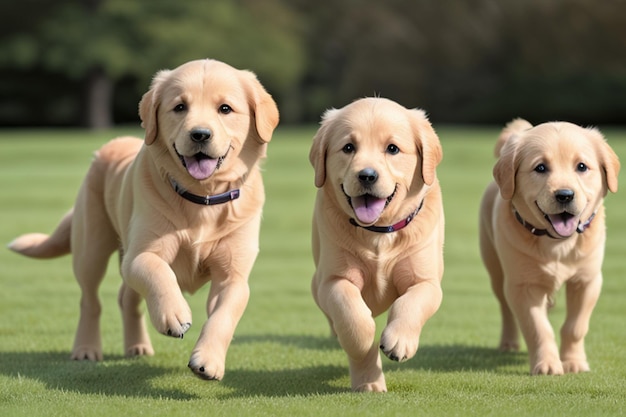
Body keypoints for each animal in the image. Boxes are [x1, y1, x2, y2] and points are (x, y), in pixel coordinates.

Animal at [9, 58, 278, 380]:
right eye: (179, 107)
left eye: (225, 108)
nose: (200, 134)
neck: (202, 198)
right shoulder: (140, 253)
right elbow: (157, 272)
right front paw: (174, 315)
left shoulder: (233, 274)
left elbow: (224, 314)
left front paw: (208, 360)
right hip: (91, 247)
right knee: (90, 299)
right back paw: (86, 349)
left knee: (126, 297)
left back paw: (137, 347)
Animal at [308, 96, 444, 390]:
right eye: (348, 147)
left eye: (392, 148)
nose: (367, 175)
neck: (379, 231)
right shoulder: (333, 279)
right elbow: (352, 315)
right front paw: (362, 343)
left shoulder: (427, 281)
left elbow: (411, 302)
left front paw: (399, 340)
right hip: (316, 284)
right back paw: (368, 383)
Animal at [480, 117, 616, 374]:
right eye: (540, 168)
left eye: (581, 166)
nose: (565, 195)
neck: (557, 243)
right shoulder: (522, 285)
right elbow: (538, 327)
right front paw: (548, 365)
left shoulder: (587, 280)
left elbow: (575, 326)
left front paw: (574, 362)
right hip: (495, 268)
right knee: (506, 308)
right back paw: (508, 343)